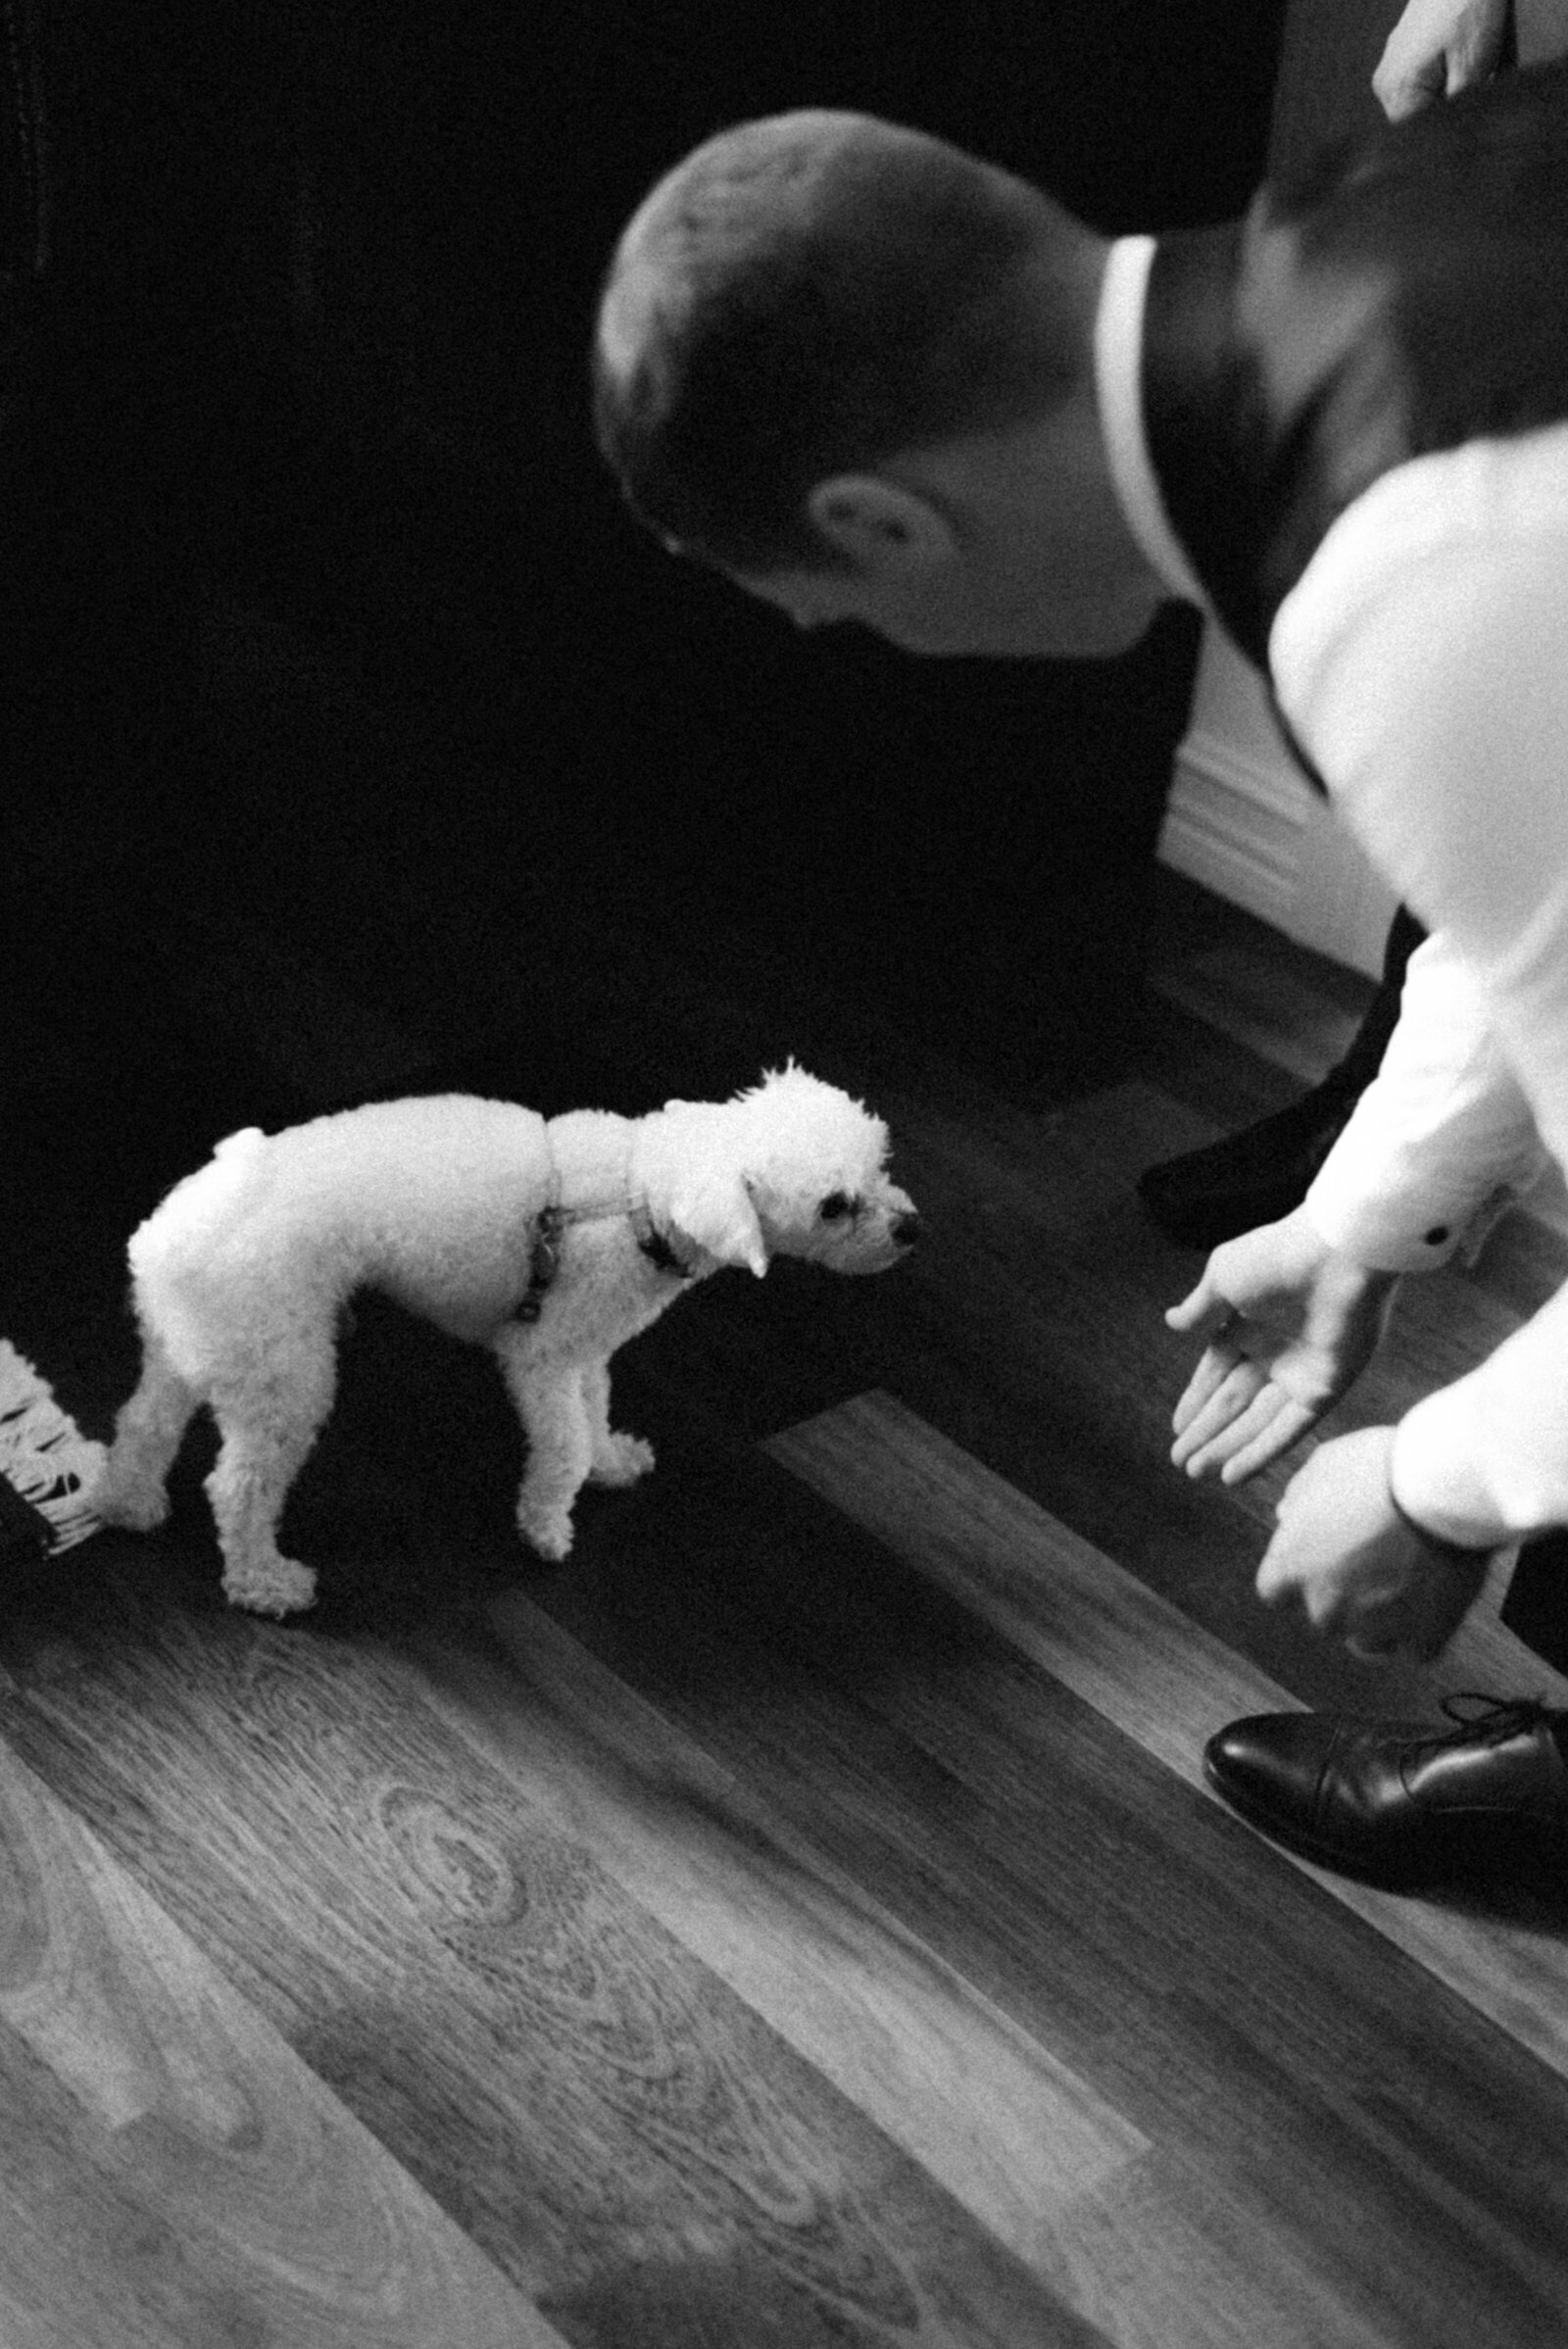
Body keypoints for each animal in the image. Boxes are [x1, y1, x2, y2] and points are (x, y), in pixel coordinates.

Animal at [95, 1066, 919, 1616]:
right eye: (835, 1205)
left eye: (881, 1165)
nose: (913, 1228)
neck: (638, 1196)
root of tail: (169, 1236)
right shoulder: (541, 1358)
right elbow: (564, 1445)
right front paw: (547, 1524)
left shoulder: (588, 1349)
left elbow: (595, 1415)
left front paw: (612, 1462)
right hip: (285, 1375)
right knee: (236, 1487)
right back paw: (264, 1581)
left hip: (199, 1350)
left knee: (143, 1424)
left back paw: (129, 1501)